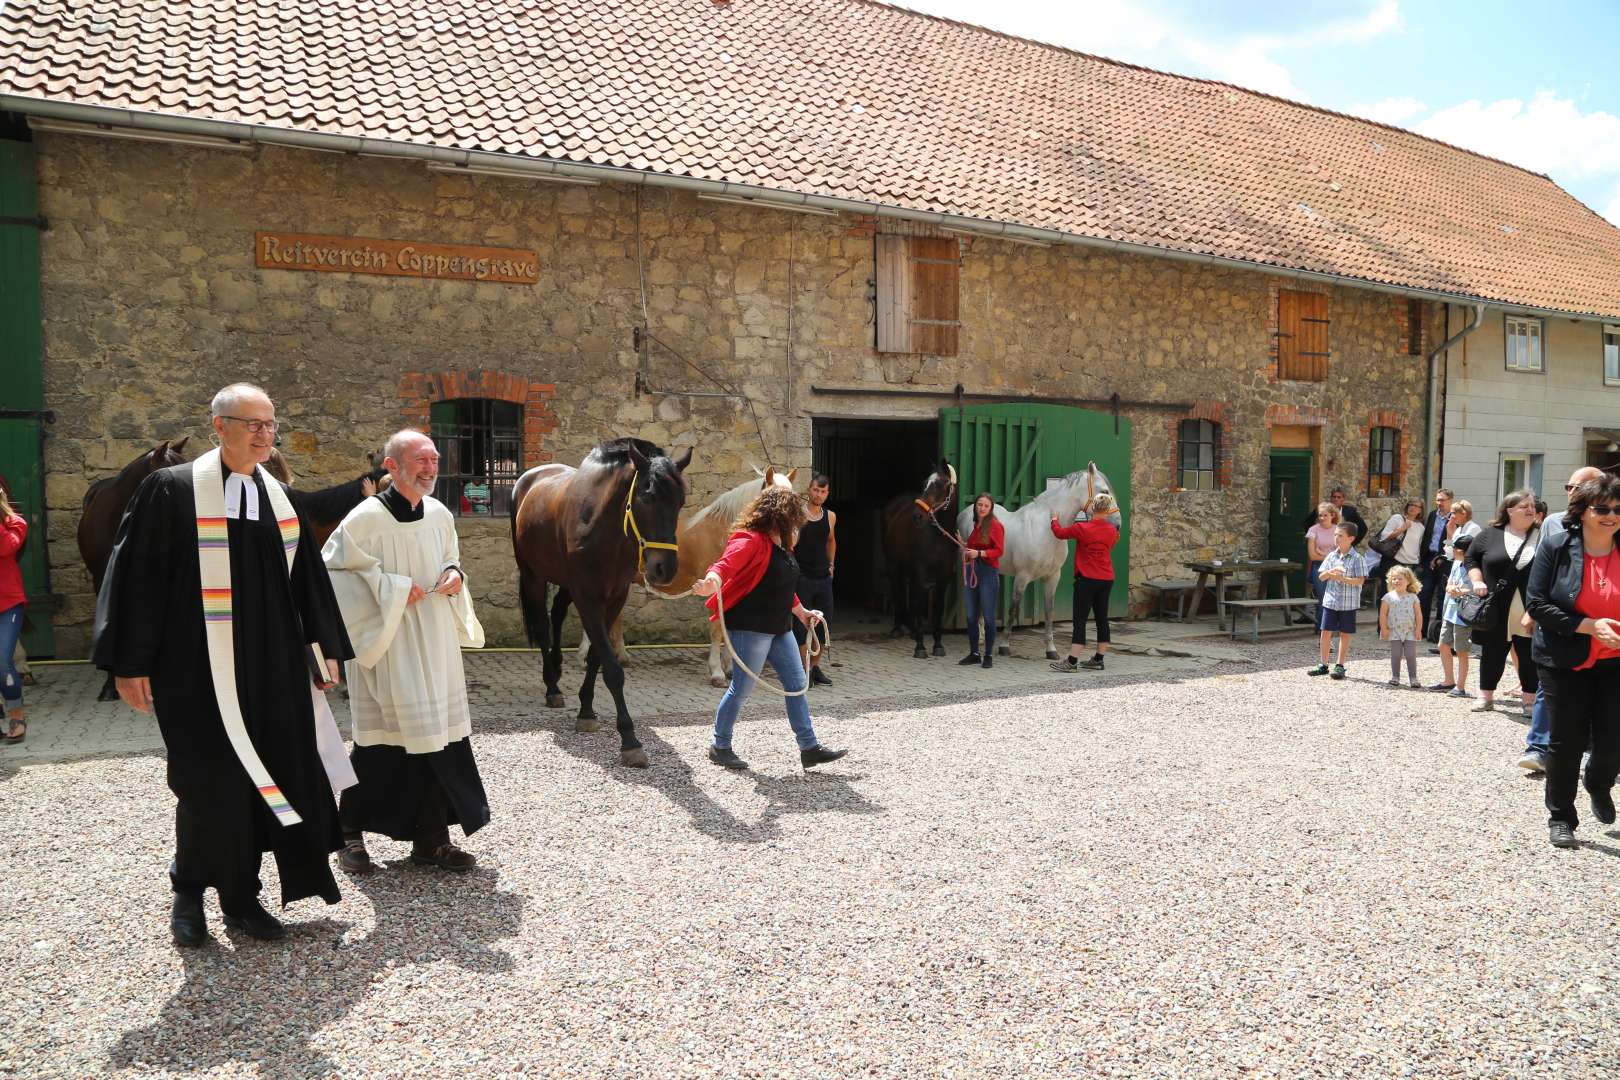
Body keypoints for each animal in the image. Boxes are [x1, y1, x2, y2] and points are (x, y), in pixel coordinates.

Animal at [511, 440, 690, 767]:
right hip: (533, 575)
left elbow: (597, 656)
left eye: (681, 501)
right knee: (542, 625)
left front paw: (586, 710)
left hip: (565, 582)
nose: (665, 568)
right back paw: (552, 686)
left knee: (557, 613)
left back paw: (557, 667)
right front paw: (630, 740)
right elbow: (612, 669)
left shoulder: (615, 597)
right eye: (647, 496)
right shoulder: (588, 597)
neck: (607, 532)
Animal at [609, 466, 797, 683]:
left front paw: (730, 668)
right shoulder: (717, 589)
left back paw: (621, 657)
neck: (725, 532)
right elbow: (716, 629)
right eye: (775, 500)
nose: (791, 535)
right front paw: (716, 672)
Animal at [887, 459, 959, 660]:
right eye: (925, 484)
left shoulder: (943, 577)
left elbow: (938, 608)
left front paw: (938, 645)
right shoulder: (920, 572)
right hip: (895, 566)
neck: (938, 538)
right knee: (898, 591)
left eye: (940, 485)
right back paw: (898, 628)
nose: (917, 516)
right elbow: (919, 604)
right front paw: (920, 647)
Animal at [952, 463, 1121, 660]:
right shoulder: (1022, 577)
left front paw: (1051, 649)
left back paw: (981, 637)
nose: (1118, 524)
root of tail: (965, 513)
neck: (1047, 529)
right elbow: (1013, 609)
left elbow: (1049, 612)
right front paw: (1004, 646)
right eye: (1104, 491)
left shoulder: (1052, 577)